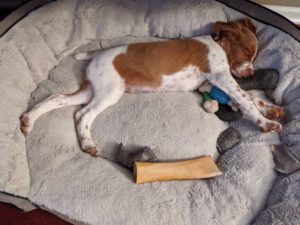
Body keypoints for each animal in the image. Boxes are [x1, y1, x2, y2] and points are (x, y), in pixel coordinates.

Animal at [20, 17, 284, 156]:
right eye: (247, 52)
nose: (250, 72)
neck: (217, 44)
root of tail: (96, 55)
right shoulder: (220, 76)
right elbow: (246, 99)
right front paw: (265, 123)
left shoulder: (209, 84)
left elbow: (248, 96)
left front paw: (271, 109)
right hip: (110, 91)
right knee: (82, 114)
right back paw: (88, 144)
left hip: (92, 89)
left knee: (55, 98)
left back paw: (28, 120)